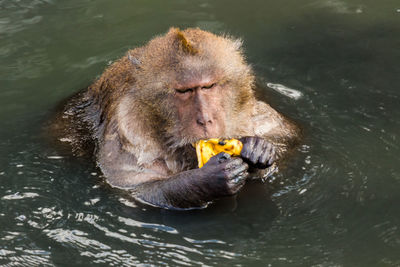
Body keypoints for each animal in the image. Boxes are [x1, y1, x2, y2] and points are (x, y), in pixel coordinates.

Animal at [55, 27, 300, 211]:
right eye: (184, 91)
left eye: (209, 86)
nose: (205, 119)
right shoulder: (128, 131)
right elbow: (137, 190)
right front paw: (208, 180)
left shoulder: (254, 113)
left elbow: (289, 140)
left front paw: (259, 150)